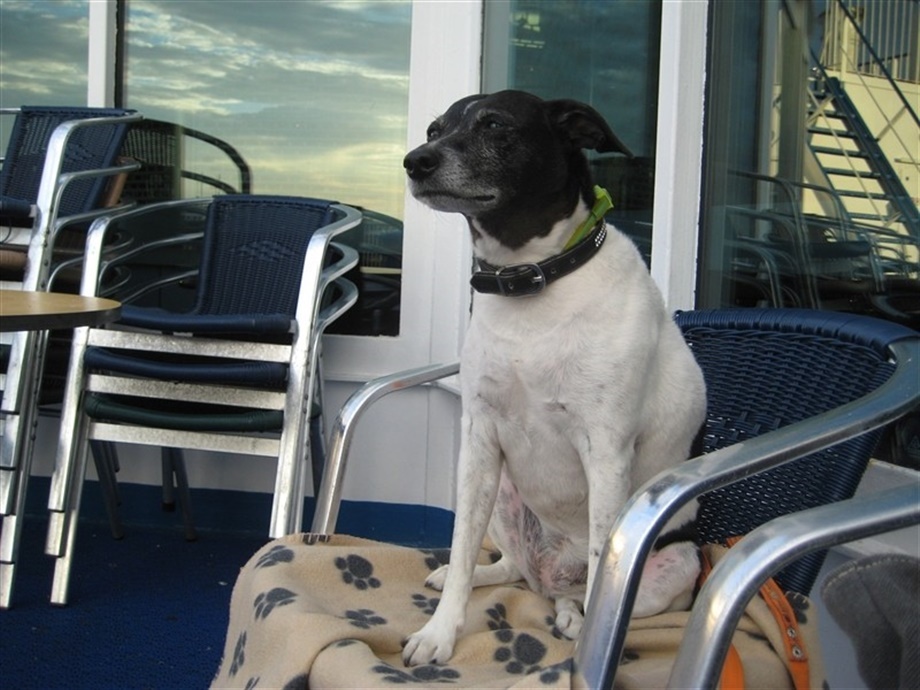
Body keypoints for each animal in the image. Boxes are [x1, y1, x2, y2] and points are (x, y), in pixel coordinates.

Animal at [401, 90, 707, 666]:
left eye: (494, 125)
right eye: (434, 129)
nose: (415, 160)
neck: (531, 282)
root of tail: (552, 573)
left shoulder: (606, 452)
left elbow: (603, 559)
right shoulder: (479, 440)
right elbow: (462, 540)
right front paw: (439, 631)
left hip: (681, 565)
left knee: (581, 592)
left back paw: (573, 618)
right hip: (503, 496)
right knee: (513, 569)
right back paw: (472, 576)